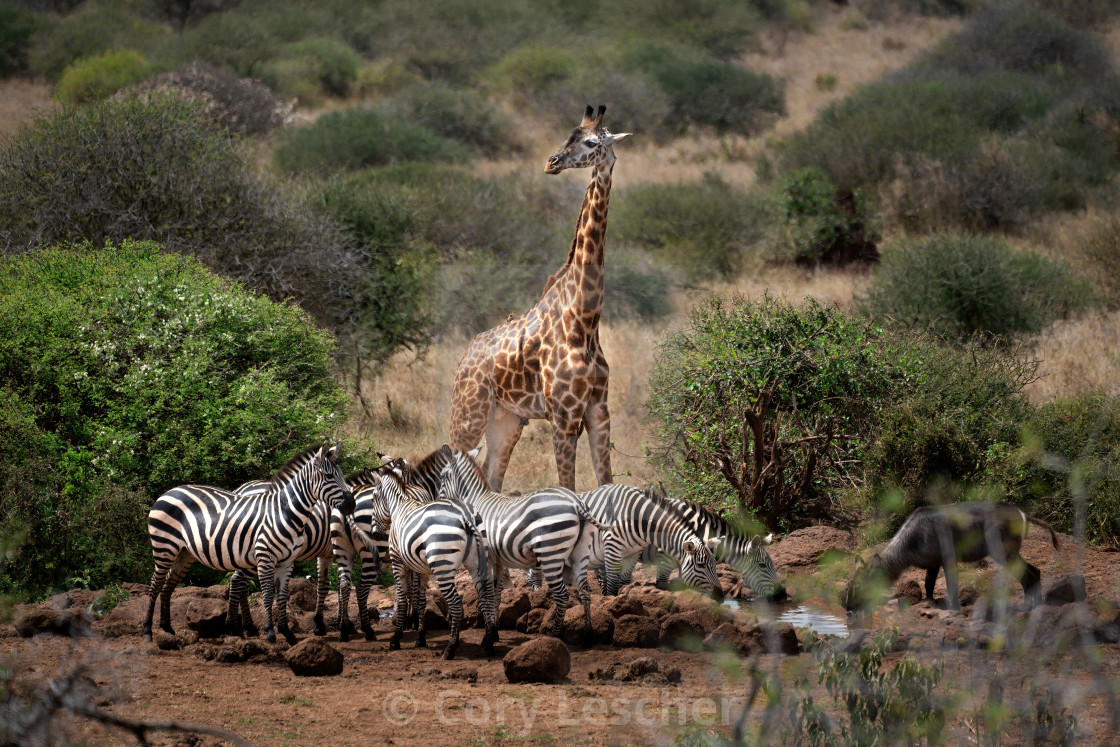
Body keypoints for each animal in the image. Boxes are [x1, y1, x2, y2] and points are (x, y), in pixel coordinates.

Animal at [143, 441, 353, 645]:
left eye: (341, 475)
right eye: (328, 476)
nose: (351, 505)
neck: (284, 512)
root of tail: (170, 491)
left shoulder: (287, 562)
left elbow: (283, 596)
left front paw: (287, 633)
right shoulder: (266, 558)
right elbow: (268, 594)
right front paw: (271, 633)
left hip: (185, 552)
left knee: (169, 583)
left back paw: (167, 628)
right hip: (164, 546)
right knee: (155, 583)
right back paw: (148, 631)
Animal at [358, 463, 499, 663]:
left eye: (374, 498)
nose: (375, 534)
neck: (399, 506)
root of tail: (466, 515)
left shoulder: (398, 562)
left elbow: (402, 600)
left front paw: (396, 639)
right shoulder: (422, 569)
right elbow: (421, 601)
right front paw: (421, 637)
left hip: (443, 565)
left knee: (456, 604)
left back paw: (450, 648)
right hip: (478, 561)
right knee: (485, 596)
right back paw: (488, 642)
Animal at [398, 447, 609, 645]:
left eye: (442, 476)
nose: (438, 503)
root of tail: (576, 501)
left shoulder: (484, 558)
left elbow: (487, 593)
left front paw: (489, 635)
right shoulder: (499, 560)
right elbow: (497, 593)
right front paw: (495, 630)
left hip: (551, 553)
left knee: (563, 596)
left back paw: (555, 635)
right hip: (579, 555)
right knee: (585, 591)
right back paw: (588, 635)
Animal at [448, 102, 631, 492]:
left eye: (591, 142)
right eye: (567, 136)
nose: (552, 162)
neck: (585, 318)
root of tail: (465, 356)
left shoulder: (598, 411)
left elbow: (606, 485)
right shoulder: (563, 416)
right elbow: (568, 489)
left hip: (506, 420)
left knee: (491, 478)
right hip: (468, 414)